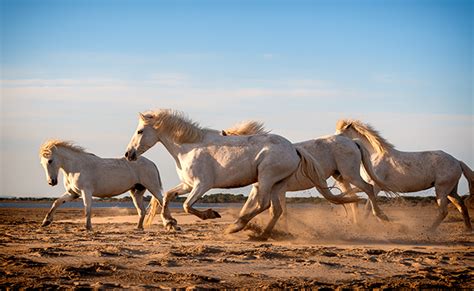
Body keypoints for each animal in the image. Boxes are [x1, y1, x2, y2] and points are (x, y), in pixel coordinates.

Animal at [39, 140, 168, 232]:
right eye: (42, 163)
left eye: (50, 160)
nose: (51, 182)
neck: (76, 167)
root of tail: (151, 163)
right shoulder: (73, 194)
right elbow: (57, 202)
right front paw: (46, 222)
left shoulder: (86, 192)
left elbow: (87, 209)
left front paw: (88, 228)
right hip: (136, 192)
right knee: (142, 211)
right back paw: (138, 228)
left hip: (153, 188)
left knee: (162, 202)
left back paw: (170, 225)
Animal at [124, 109, 358, 240]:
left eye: (140, 131)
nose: (128, 154)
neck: (189, 147)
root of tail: (294, 148)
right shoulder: (188, 185)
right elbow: (167, 197)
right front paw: (170, 223)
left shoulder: (202, 185)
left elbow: (187, 206)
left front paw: (211, 214)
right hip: (278, 184)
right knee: (276, 209)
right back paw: (261, 235)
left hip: (266, 179)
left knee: (263, 204)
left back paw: (236, 226)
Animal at [336, 119, 472, 233]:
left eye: (340, 135)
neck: (374, 155)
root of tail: (457, 161)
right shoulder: (371, 186)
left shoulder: (375, 186)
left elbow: (369, 208)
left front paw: (364, 225)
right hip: (451, 191)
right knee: (461, 206)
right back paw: (467, 229)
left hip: (442, 190)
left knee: (444, 211)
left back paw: (429, 231)